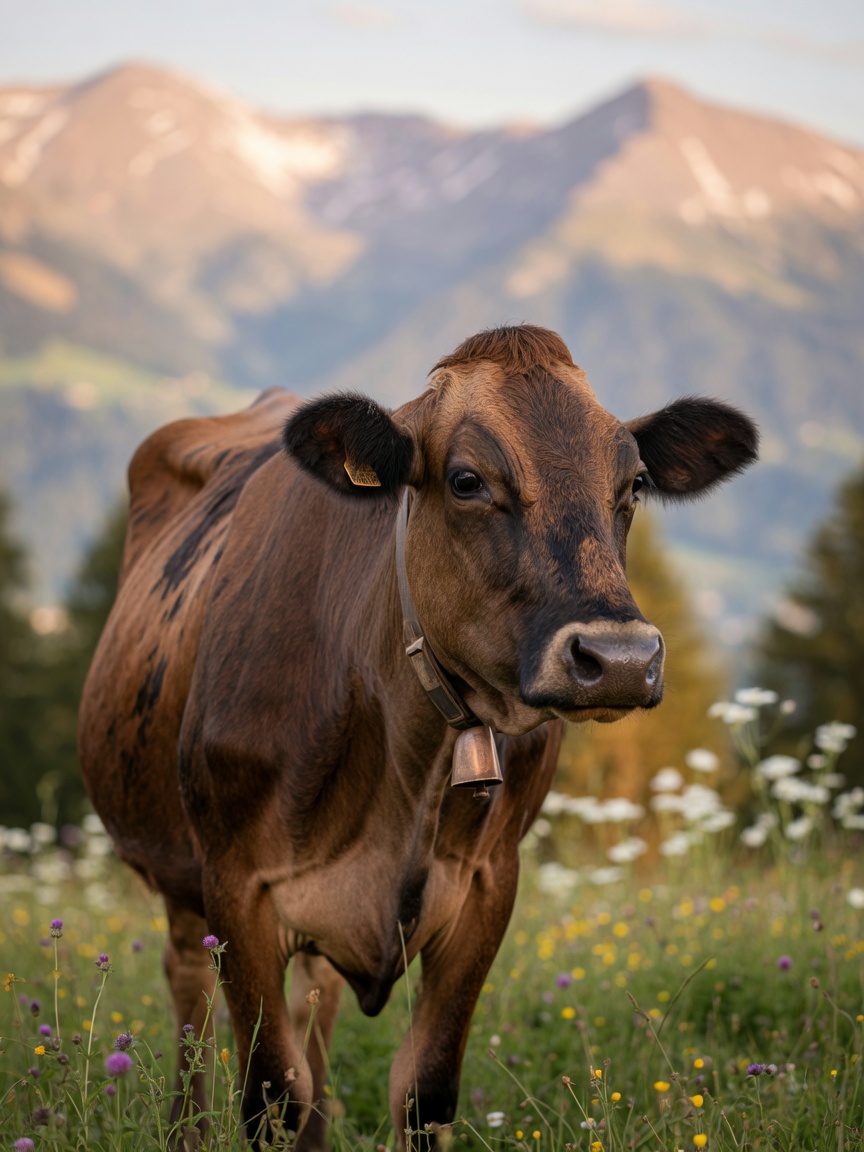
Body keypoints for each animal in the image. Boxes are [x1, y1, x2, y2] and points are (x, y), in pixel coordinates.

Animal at [78, 324, 757, 1147]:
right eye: (466, 480)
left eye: (632, 485)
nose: (620, 660)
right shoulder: (237, 888)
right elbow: (271, 1094)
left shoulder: (488, 885)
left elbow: (421, 1091)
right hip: (180, 883)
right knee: (190, 1003)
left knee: (315, 1008)